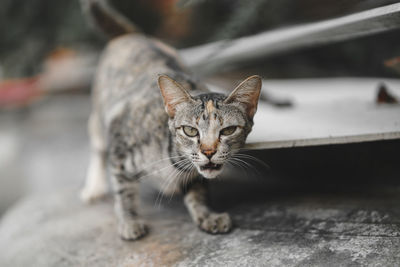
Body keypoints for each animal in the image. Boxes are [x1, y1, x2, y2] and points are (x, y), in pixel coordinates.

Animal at [81, 0, 262, 242]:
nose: (208, 152)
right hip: (99, 115)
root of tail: (133, 35)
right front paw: (129, 221)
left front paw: (207, 215)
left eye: (228, 130)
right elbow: (123, 189)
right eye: (190, 131)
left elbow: (198, 190)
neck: (171, 159)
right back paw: (94, 186)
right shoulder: (118, 137)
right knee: (97, 145)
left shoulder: (196, 175)